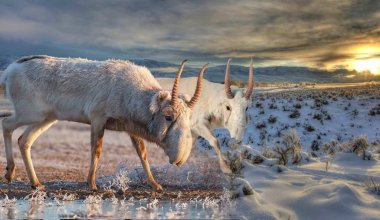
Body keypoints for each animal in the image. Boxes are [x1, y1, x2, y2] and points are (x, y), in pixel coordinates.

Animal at [0, 55, 208, 191]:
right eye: (168, 116)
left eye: (188, 117)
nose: (179, 158)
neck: (132, 92)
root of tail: (9, 71)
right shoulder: (98, 119)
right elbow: (97, 149)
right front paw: (92, 184)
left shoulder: (130, 128)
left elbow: (142, 154)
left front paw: (155, 184)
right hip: (31, 114)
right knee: (7, 124)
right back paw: (10, 173)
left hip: (46, 119)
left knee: (24, 140)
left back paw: (35, 183)